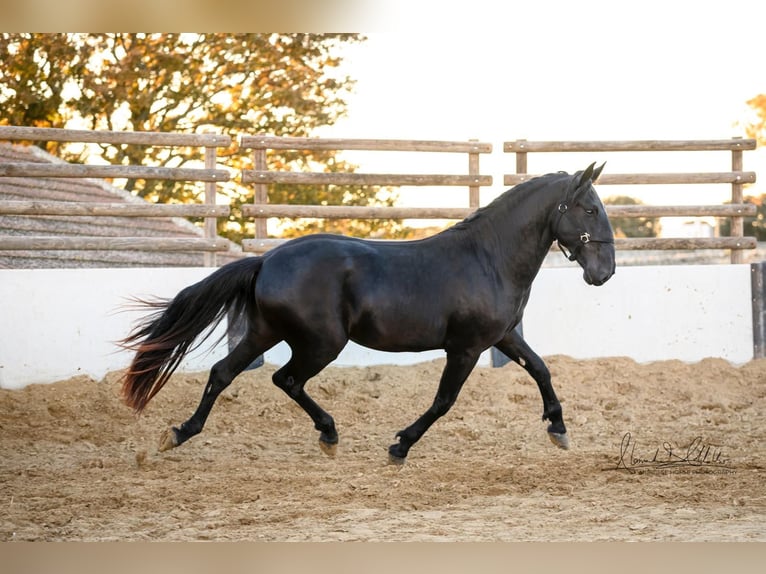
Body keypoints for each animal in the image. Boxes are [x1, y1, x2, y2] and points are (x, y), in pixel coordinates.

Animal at [124, 161, 616, 464]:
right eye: (590, 209)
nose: (605, 272)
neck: (488, 259)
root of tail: (267, 260)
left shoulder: (504, 337)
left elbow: (541, 370)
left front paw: (559, 428)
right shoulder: (467, 347)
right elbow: (444, 401)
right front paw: (400, 446)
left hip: (265, 332)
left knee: (224, 373)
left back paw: (180, 432)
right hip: (322, 343)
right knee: (285, 379)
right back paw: (328, 434)